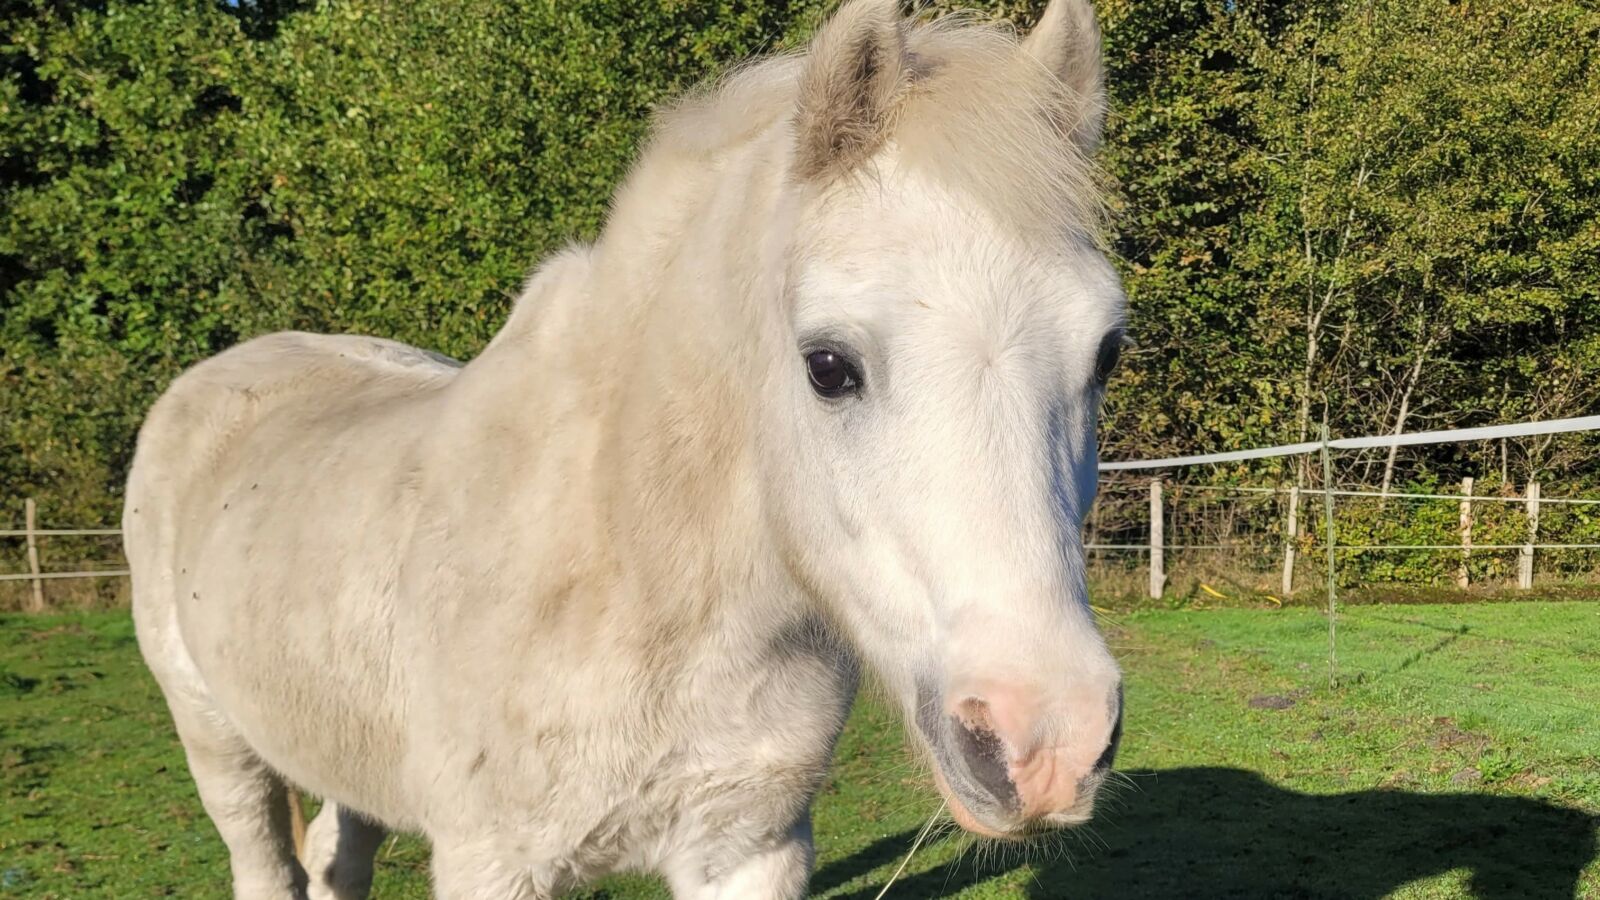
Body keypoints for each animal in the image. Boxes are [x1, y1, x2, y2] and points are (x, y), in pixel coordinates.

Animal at [123, 1, 1127, 897]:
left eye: (1107, 351)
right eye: (830, 365)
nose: (1047, 741)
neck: (630, 567)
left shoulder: (748, 851)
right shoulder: (491, 864)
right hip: (218, 746)